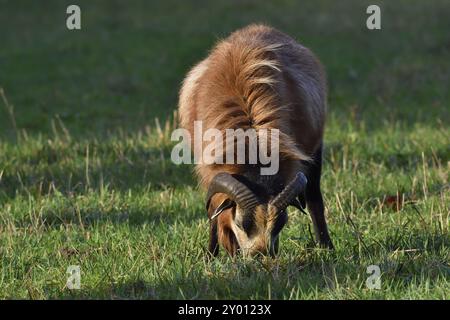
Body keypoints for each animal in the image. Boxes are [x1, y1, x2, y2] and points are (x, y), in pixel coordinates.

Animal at [178, 23, 332, 256]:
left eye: (280, 223)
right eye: (243, 223)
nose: (262, 254)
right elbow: (214, 211)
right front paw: (210, 255)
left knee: (314, 197)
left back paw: (326, 246)